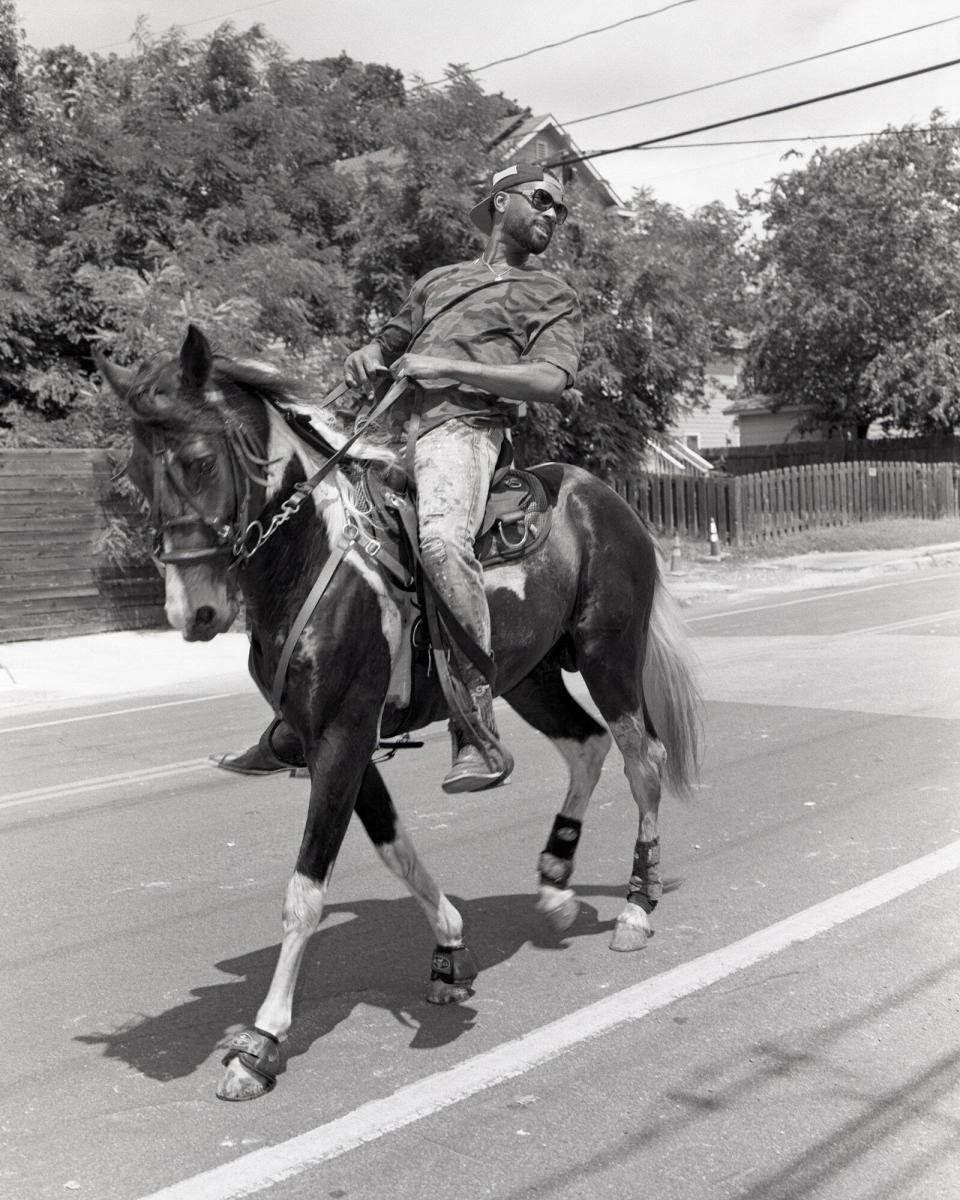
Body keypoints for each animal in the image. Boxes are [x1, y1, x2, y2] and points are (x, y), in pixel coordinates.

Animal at [93, 324, 700, 1099]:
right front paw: (449, 948)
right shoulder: (328, 738)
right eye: (137, 475)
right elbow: (394, 847)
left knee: (641, 760)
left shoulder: (343, 737)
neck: (316, 560)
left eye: (199, 461)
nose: (191, 612)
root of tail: (602, 497)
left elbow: (306, 891)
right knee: (587, 745)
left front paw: (261, 1043)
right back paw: (556, 879)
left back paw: (635, 905)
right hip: (524, 676)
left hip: (608, 656)